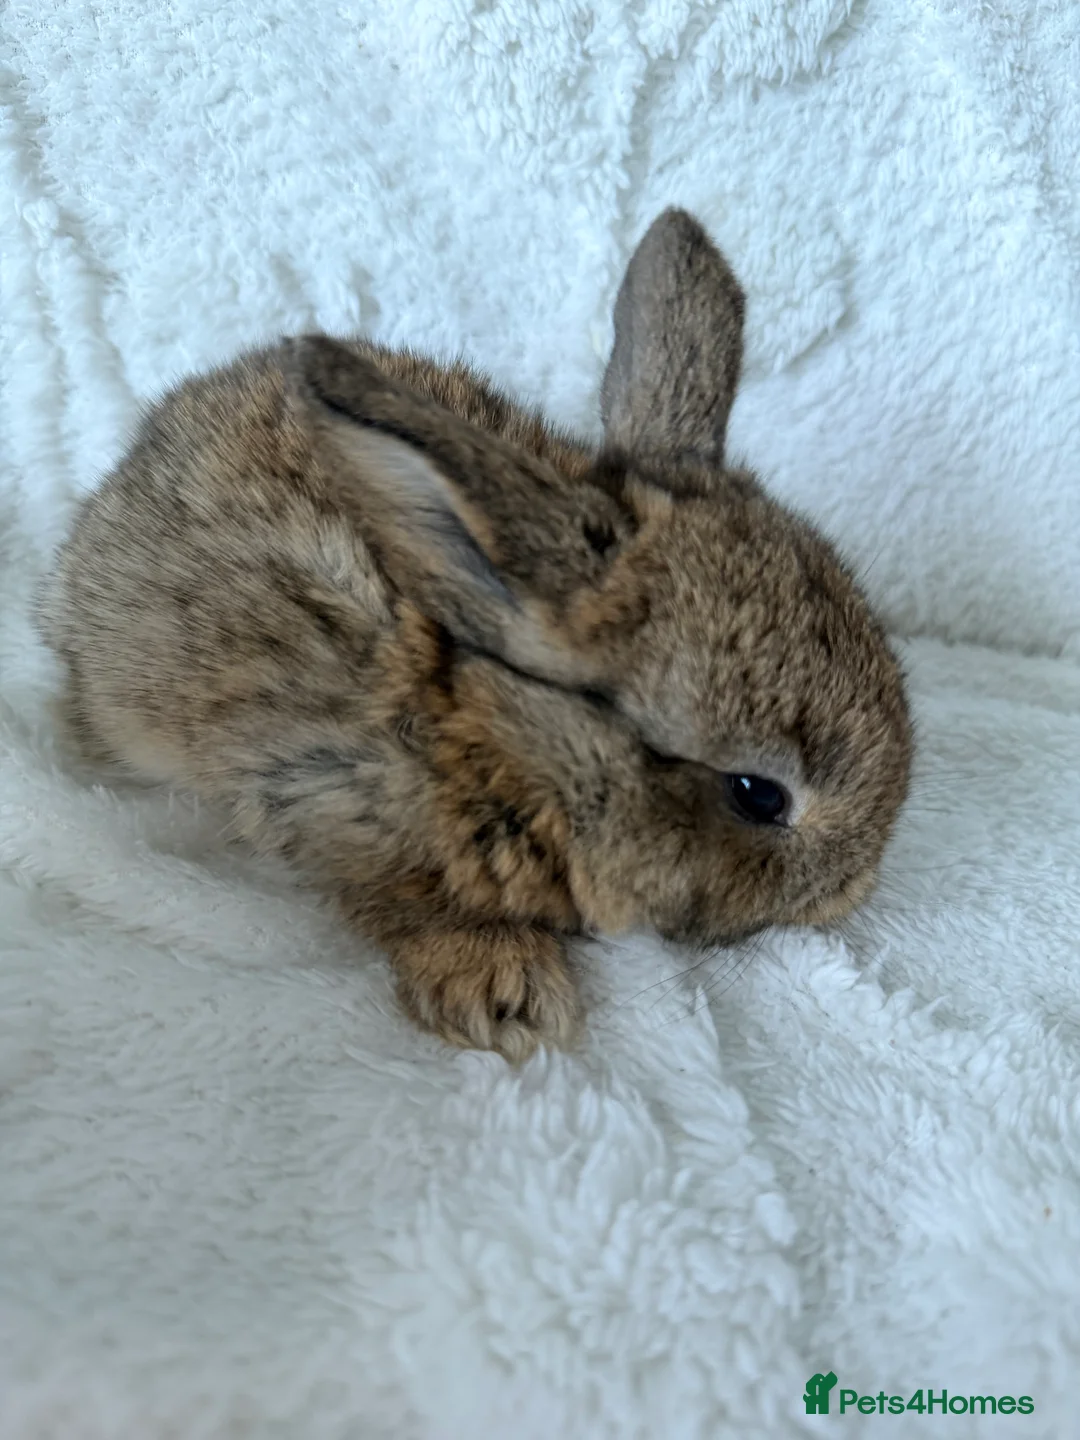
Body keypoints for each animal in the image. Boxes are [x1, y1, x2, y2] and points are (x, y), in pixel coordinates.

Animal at [37, 208, 913, 1062]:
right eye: (758, 793)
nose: (853, 886)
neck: (488, 724)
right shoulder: (320, 795)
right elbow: (401, 900)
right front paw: (505, 993)